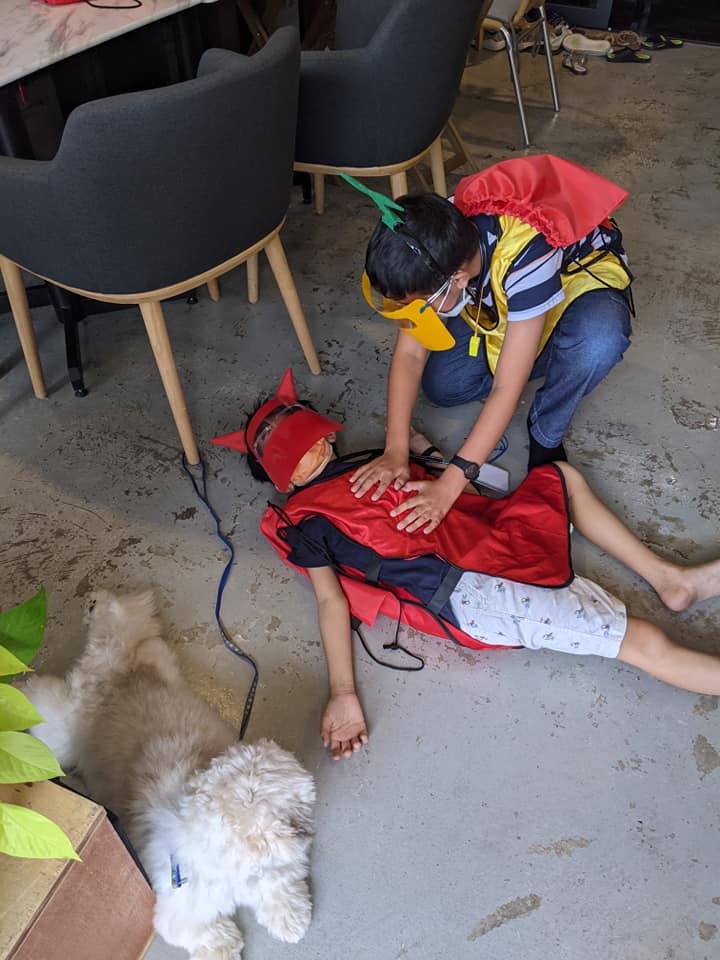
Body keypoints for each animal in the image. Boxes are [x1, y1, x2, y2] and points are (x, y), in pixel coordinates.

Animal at [25, 590, 315, 960]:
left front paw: (288, 916)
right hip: (60, 733)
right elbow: (202, 930)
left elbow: (281, 888)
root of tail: (114, 671)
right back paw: (23, 687)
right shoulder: (177, 908)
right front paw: (223, 947)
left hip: (159, 657)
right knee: (43, 704)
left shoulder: (274, 872)